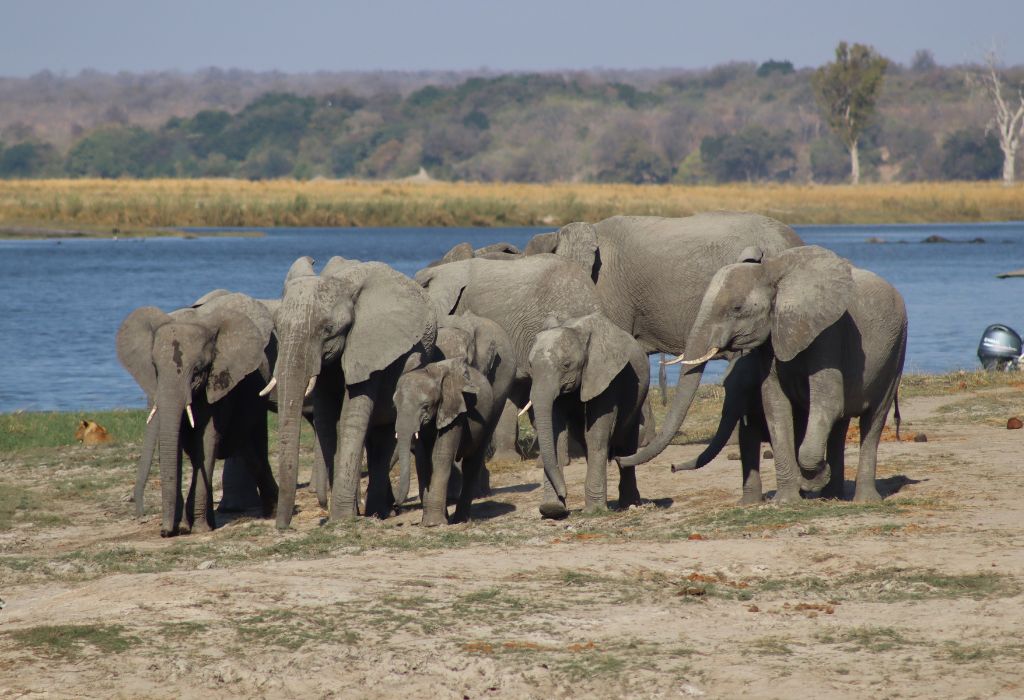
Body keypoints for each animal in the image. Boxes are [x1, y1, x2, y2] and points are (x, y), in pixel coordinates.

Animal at [116, 290, 278, 536]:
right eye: (154, 367)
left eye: (198, 370)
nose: (163, 531)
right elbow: (175, 444)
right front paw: (181, 527)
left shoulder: (220, 386)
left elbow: (207, 439)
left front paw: (197, 529)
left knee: (252, 445)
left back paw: (271, 512)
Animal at [266, 253, 434, 528]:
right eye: (277, 329)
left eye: (328, 330)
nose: (282, 527)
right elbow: (326, 419)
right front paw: (344, 514)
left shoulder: (370, 349)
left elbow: (351, 417)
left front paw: (342, 518)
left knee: (385, 434)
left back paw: (377, 512)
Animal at [663, 245, 905, 503]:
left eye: (737, 308)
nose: (671, 467)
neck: (772, 271)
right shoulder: (772, 339)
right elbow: (775, 405)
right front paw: (786, 501)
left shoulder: (829, 331)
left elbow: (828, 402)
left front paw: (814, 480)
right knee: (841, 423)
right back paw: (831, 496)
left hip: (896, 350)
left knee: (874, 419)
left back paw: (864, 500)